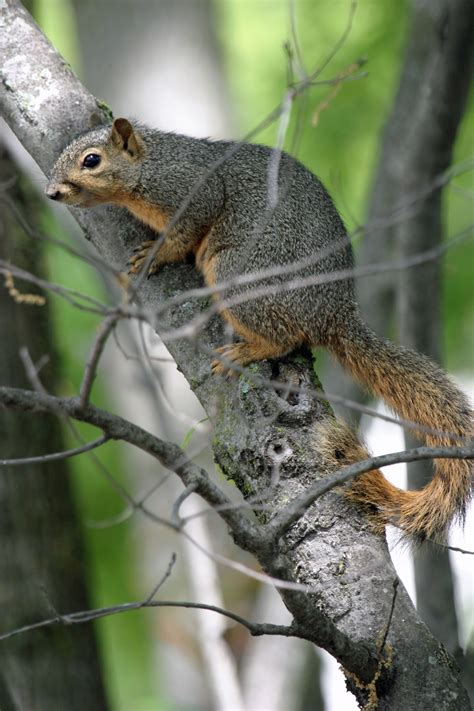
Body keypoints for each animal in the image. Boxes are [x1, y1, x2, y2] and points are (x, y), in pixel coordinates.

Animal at [45, 117, 470, 544]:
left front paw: (157, 253)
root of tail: (334, 314)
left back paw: (248, 350)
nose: (52, 192)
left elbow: (184, 234)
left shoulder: (191, 193)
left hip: (237, 274)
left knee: (283, 337)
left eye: (92, 160)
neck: (151, 164)